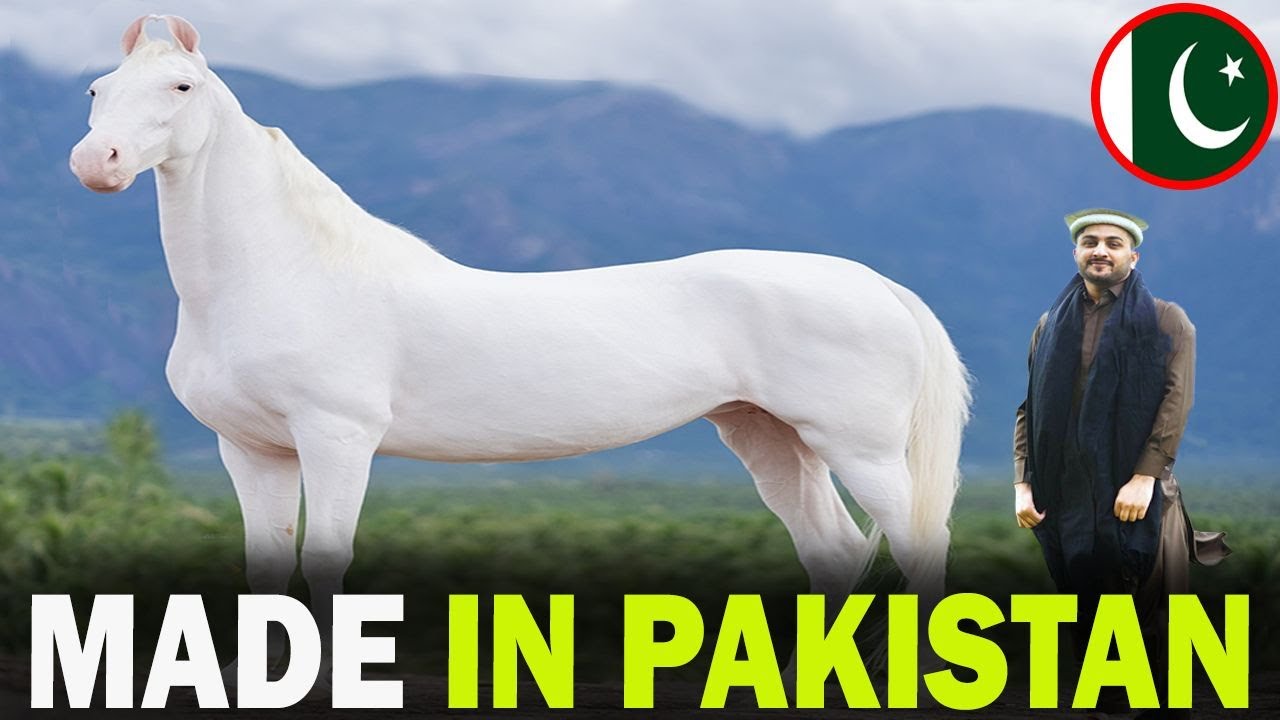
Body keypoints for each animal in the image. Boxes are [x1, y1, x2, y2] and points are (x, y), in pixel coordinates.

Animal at [70, 15, 970, 680]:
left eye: (181, 86)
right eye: (97, 89)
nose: (96, 161)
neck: (285, 270)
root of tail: (878, 285)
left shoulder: (335, 439)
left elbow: (325, 563)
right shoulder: (251, 449)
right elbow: (266, 573)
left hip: (860, 448)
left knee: (919, 550)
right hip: (771, 438)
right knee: (836, 552)